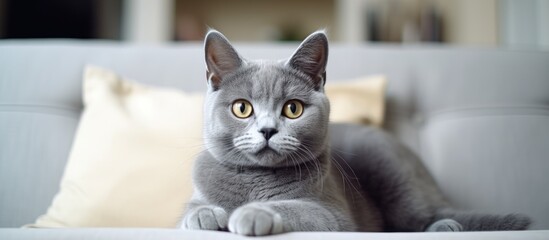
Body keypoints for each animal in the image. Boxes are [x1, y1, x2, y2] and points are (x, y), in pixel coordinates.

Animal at [178, 30, 528, 236]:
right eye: (242, 108)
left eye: (293, 109)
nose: (267, 129)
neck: (255, 180)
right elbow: (189, 209)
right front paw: (205, 214)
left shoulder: (333, 215)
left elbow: (295, 206)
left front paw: (251, 214)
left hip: (391, 173)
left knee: (419, 217)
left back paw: (446, 226)